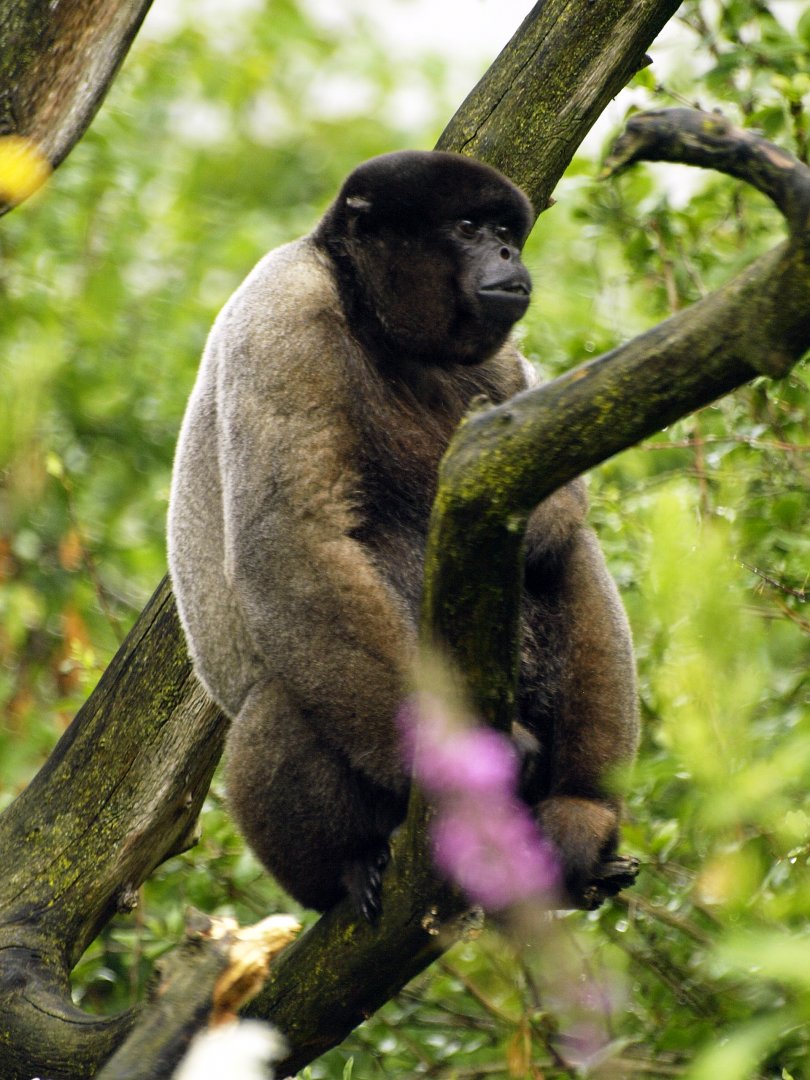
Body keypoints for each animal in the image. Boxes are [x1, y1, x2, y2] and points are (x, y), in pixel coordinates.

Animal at [167, 150, 638, 921]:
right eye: (468, 227)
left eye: (506, 231)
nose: (509, 255)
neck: (379, 321)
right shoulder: (285, 315)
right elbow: (291, 541)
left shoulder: (501, 362)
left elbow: (559, 500)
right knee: (278, 703)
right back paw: (352, 866)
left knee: (569, 556)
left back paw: (581, 811)